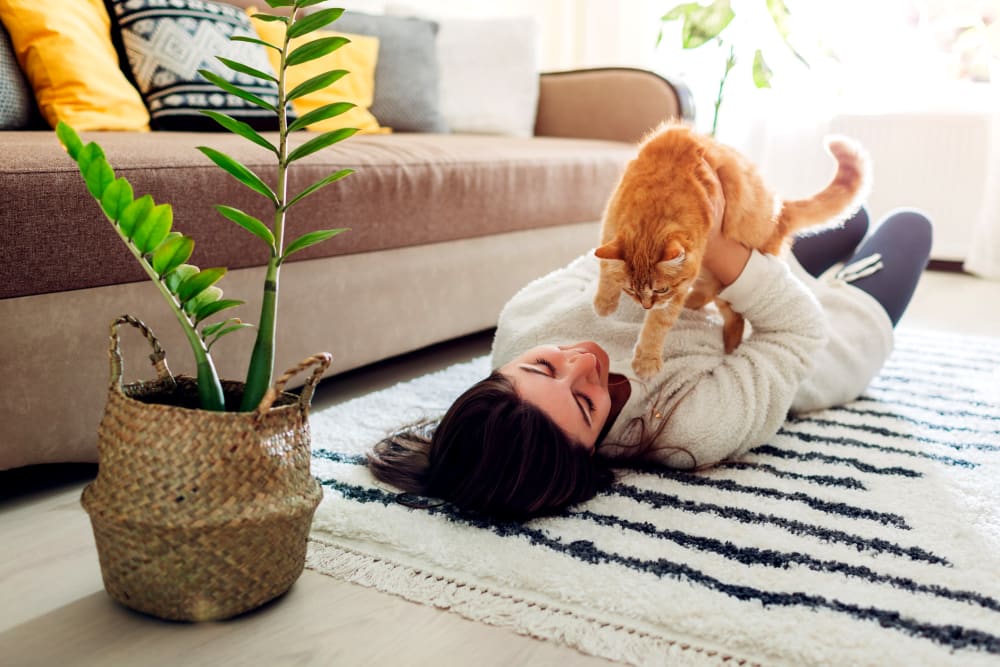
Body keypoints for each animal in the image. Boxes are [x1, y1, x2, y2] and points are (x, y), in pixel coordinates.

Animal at [592, 122, 868, 378]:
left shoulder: (676, 290)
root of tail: (780, 211)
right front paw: (604, 303)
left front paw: (646, 359)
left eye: (661, 290)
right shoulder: (609, 223)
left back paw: (729, 348)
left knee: (736, 319)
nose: (646, 306)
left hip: (729, 285)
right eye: (630, 290)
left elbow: (658, 325)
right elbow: (605, 267)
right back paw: (697, 306)